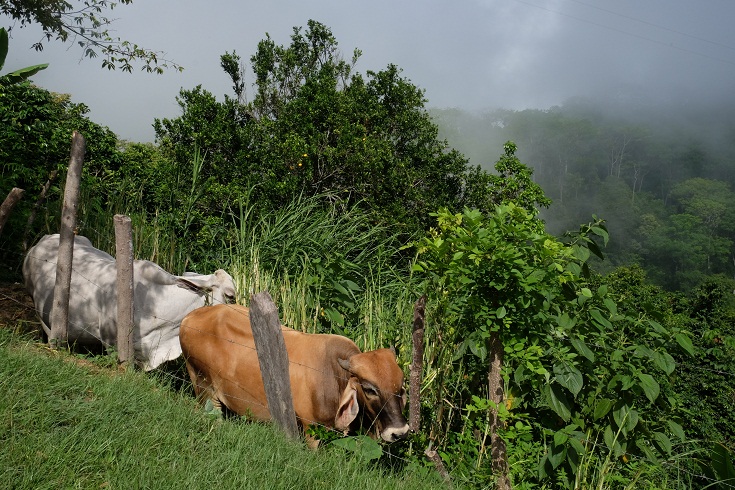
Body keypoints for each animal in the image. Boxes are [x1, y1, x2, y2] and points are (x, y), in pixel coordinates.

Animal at [179, 304, 410, 446]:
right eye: (369, 389)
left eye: (400, 387)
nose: (399, 432)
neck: (334, 376)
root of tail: (191, 316)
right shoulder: (311, 430)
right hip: (203, 387)